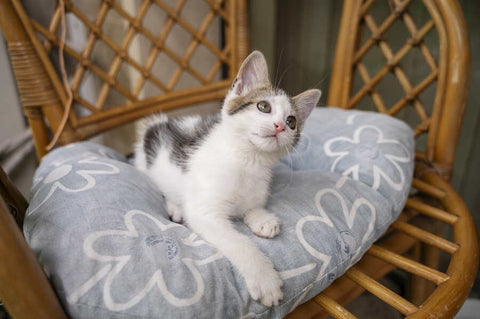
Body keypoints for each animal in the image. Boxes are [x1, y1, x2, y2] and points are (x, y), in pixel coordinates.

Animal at [135, 50, 320, 308]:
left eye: (292, 121)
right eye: (263, 106)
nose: (280, 126)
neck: (248, 160)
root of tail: (156, 124)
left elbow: (252, 206)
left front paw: (263, 218)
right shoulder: (205, 212)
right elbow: (240, 243)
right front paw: (265, 279)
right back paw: (175, 206)